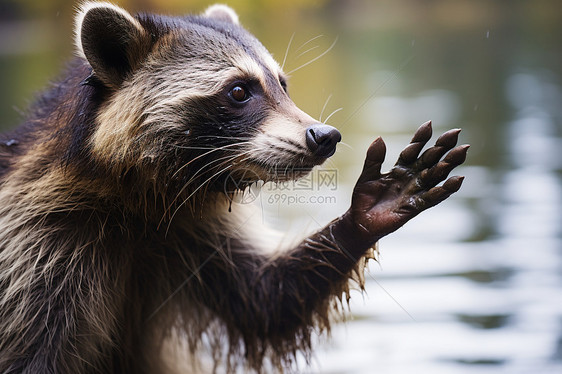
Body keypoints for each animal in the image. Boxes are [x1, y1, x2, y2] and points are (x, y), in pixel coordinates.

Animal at [0, 2, 466, 374]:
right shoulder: (37, 243)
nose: (325, 136)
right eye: (240, 90)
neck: (139, 197)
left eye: (282, 84)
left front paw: (365, 215)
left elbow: (264, 299)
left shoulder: (190, 227)